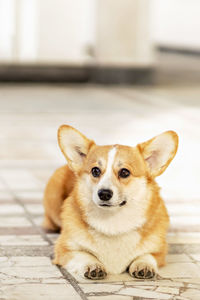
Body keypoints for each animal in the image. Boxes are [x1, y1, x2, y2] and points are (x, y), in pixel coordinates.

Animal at [43, 125, 178, 280]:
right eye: (95, 171)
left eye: (124, 172)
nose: (104, 193)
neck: (112, 222)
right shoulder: (64, 250)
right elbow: (83, 254)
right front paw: (92, 265)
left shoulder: (159, 252)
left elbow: (147, 255)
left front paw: (144, 265)